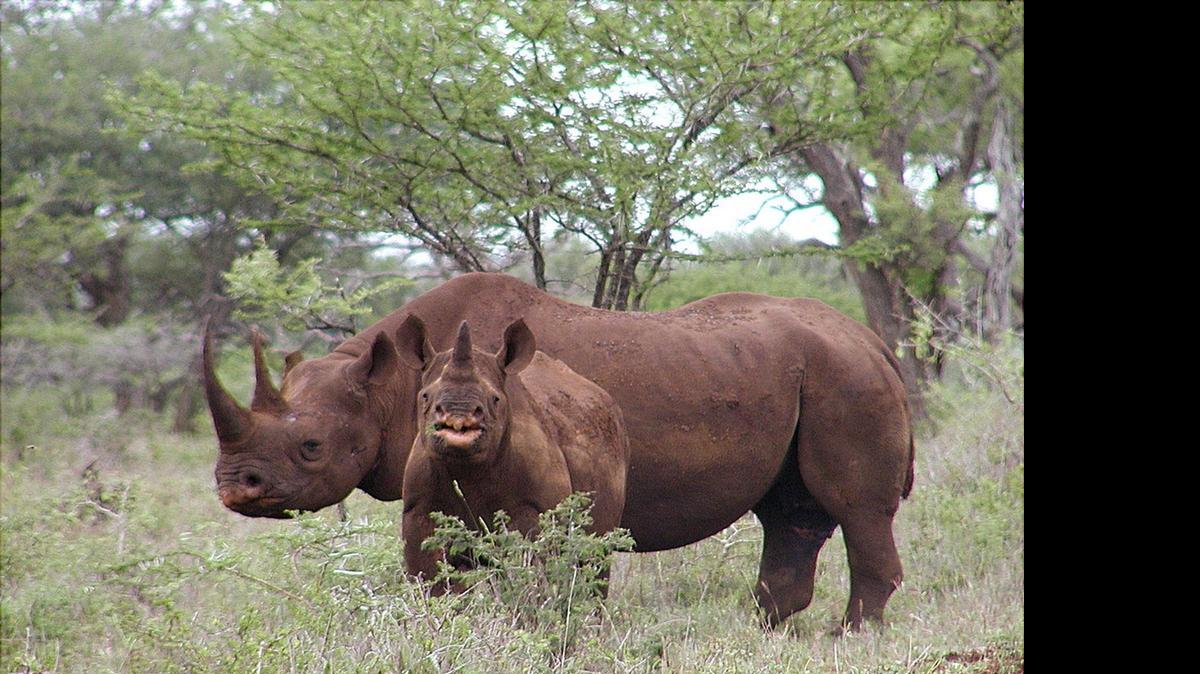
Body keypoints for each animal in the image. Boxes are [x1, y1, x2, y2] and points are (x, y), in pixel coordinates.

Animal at [396, 317, 628, 585]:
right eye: (425, 396)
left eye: (495, 399)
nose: (458, 414)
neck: (468, 469)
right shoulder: (419, 509)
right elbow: (431, 577)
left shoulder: (534, 508)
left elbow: (530, 570)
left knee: (595, 559)